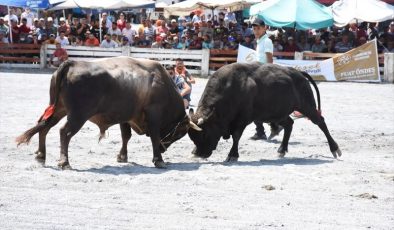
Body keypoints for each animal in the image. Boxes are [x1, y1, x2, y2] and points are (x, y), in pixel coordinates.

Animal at [15, 57, 200, 169]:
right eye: (180, 133)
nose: (163, 150)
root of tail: (72, 63)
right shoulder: (153, 113)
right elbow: (154, 136)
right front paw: (159, 160)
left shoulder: (126, 116)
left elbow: (126, 136)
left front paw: (122, 156)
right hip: (78, 115)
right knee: (64, 132)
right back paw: (64, 162)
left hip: (58, 108)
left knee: (44, 127)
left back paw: (41, 155)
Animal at [189, 62, 342, 161]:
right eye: (192, 137)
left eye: (204, 134)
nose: (199, 154)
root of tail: (298, 73)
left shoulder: (242, 120)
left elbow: (236, 136)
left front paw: (232, 155)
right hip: (278, 113)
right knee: (289, 124)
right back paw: (281, 150)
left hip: (306, 106)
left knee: (320, 122)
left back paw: (335, 149)